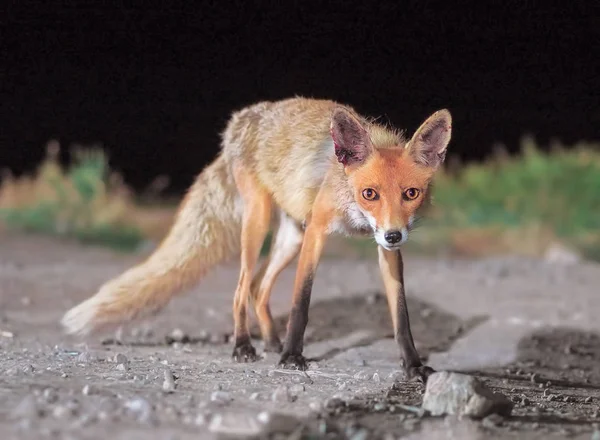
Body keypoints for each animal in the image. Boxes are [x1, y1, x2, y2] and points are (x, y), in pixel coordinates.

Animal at [63, 96, 452, 382]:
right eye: (369, 193)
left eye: (411, 194)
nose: (393, 234)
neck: (351, 203)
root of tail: (238, 122)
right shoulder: (318, 231)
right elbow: (300, 304)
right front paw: (292, 357)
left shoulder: (385, 249)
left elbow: (401, 317)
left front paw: (413, 366)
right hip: (259, 222)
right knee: (241, 289)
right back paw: (244, 346)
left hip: (291, 237)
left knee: (258, 287)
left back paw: (271, 341)